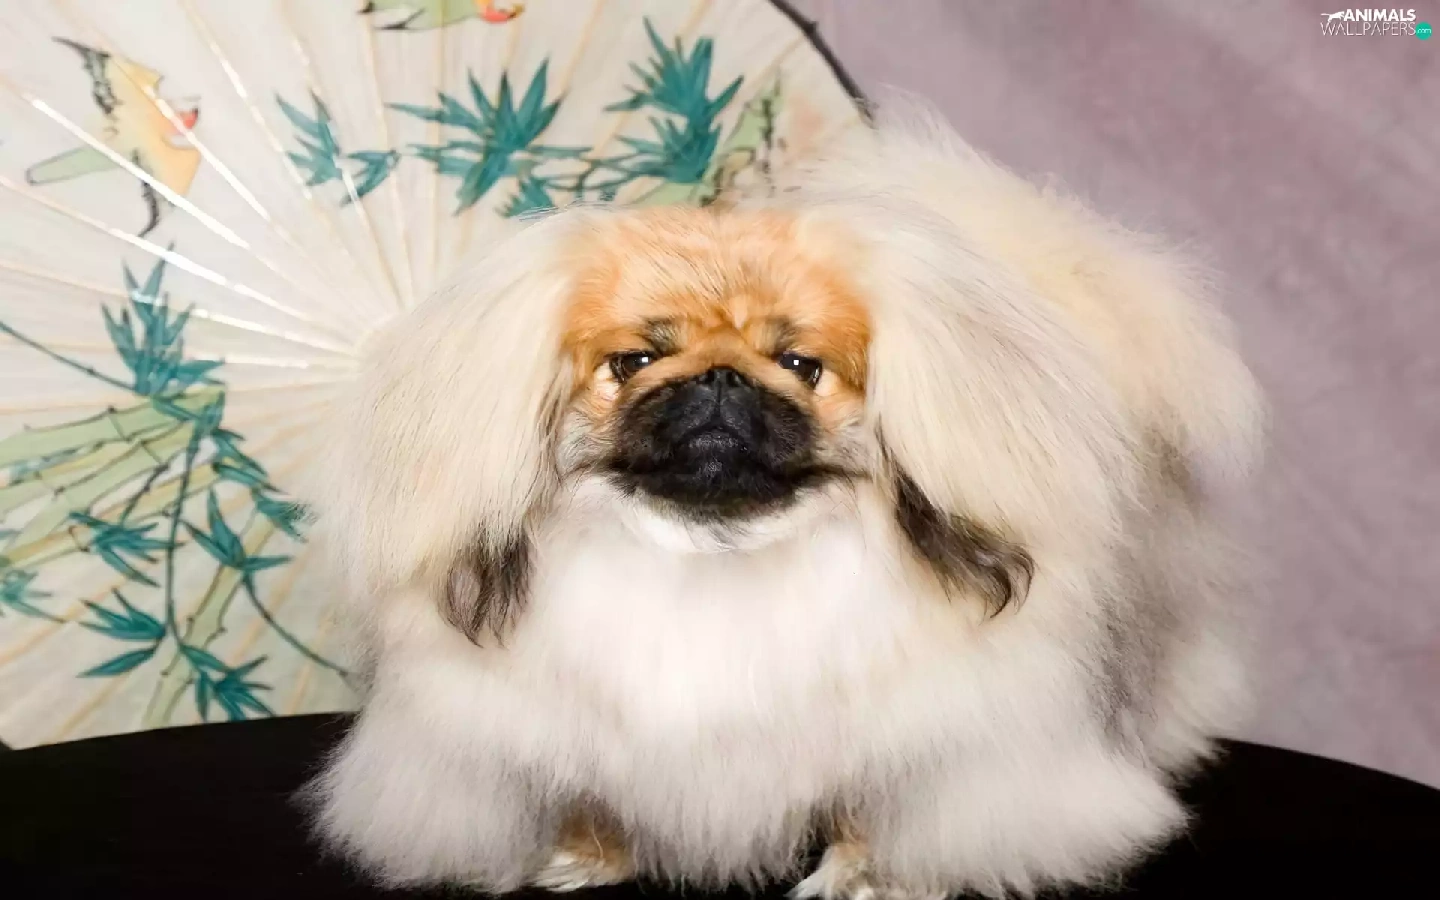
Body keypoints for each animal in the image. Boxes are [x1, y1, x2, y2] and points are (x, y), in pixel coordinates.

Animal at [303, 106, 1264, 899]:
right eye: (635, 362)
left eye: (801, 365)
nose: (721, 380)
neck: (713, 555)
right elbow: (593, 796)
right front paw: (588, 858)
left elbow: (867, 805)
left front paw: (863, 876)